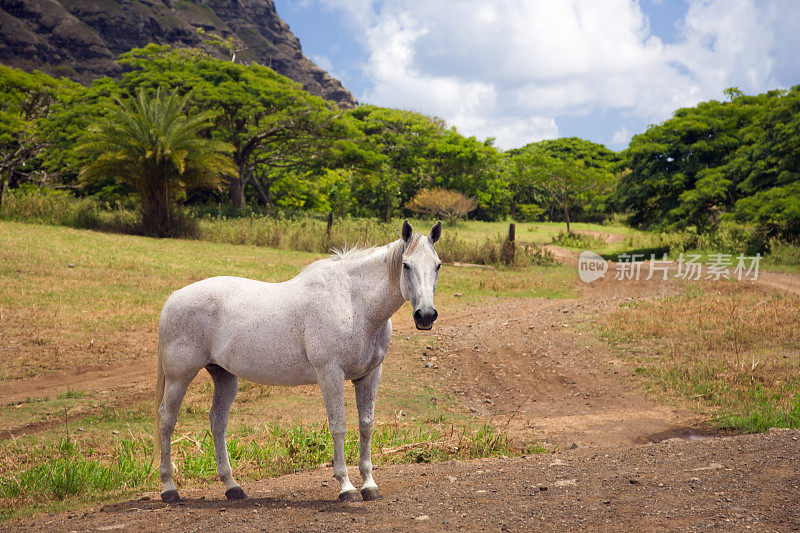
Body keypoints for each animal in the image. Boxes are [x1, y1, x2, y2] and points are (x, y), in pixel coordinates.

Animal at [155, 218, 444, 500]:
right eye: (406, 265)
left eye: (438, 265)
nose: (425, 315)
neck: (352, 303)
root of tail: (173, 298)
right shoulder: (330, 374)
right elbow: (339, 426)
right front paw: (346, 487)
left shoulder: (370, 375)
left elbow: (366, 426)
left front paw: (369, 486)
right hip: (179, 377)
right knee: (167, 421)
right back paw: (169, 489)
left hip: (224, 377)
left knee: (217, 423)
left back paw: (232, 487)